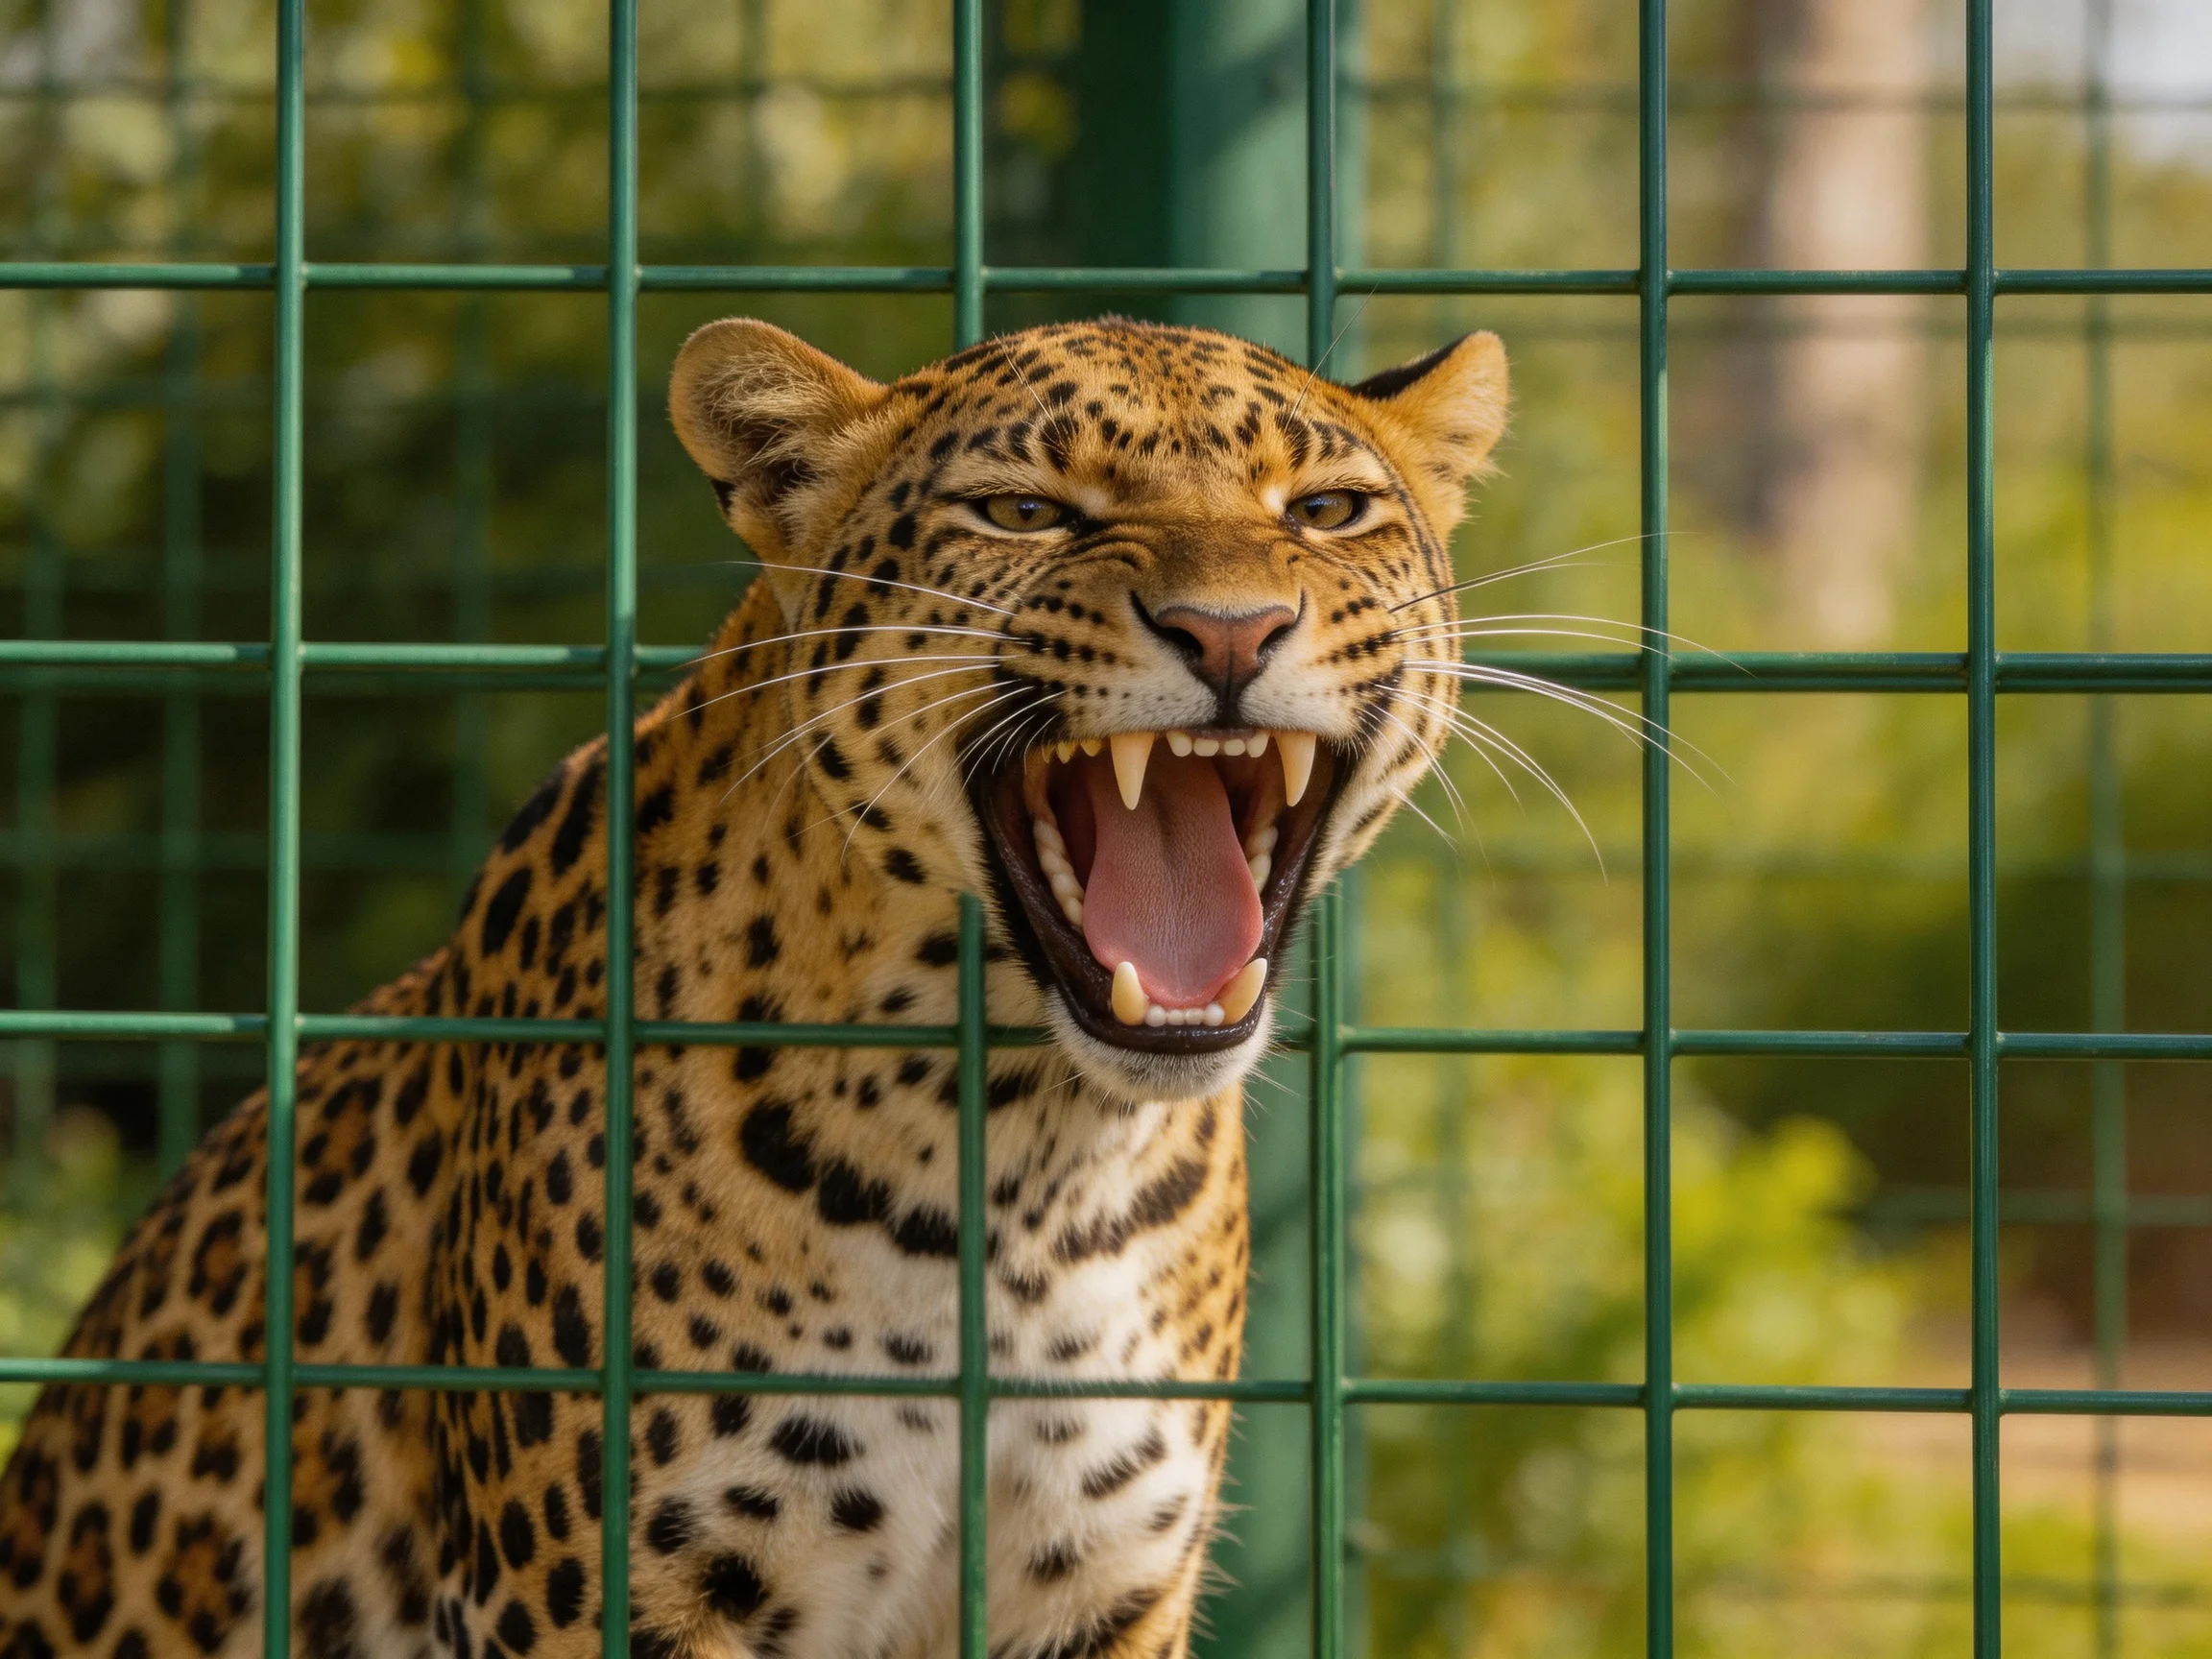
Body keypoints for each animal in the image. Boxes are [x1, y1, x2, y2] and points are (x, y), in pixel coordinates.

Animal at [0, 314, 1508, 1659]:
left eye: (1327, 510)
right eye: (1024, 511)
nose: (1232, 631)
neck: (1021, 1154)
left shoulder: (1103, 1587)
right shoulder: (608, 1589)